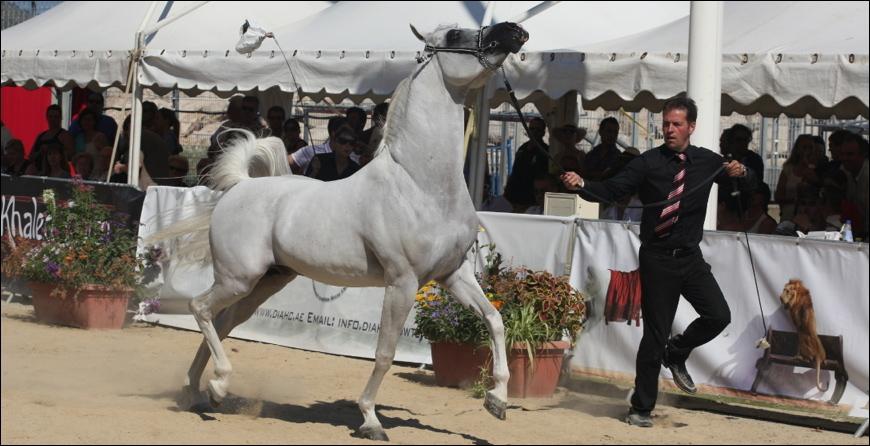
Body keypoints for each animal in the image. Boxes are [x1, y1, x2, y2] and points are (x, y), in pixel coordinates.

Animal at [163, 22, 528, 441]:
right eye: (453, 35)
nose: (515, 31)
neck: (420, 183)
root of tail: (240, 186)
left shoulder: (454, 275)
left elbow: (495, 321)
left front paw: (497, 400)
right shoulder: (402, 282)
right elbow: (385, 353)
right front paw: (370, 419)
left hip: (265, 283)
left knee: (222, 323)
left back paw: (201, 393)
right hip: (238, 278)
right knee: (200, 308)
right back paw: (217, 384)